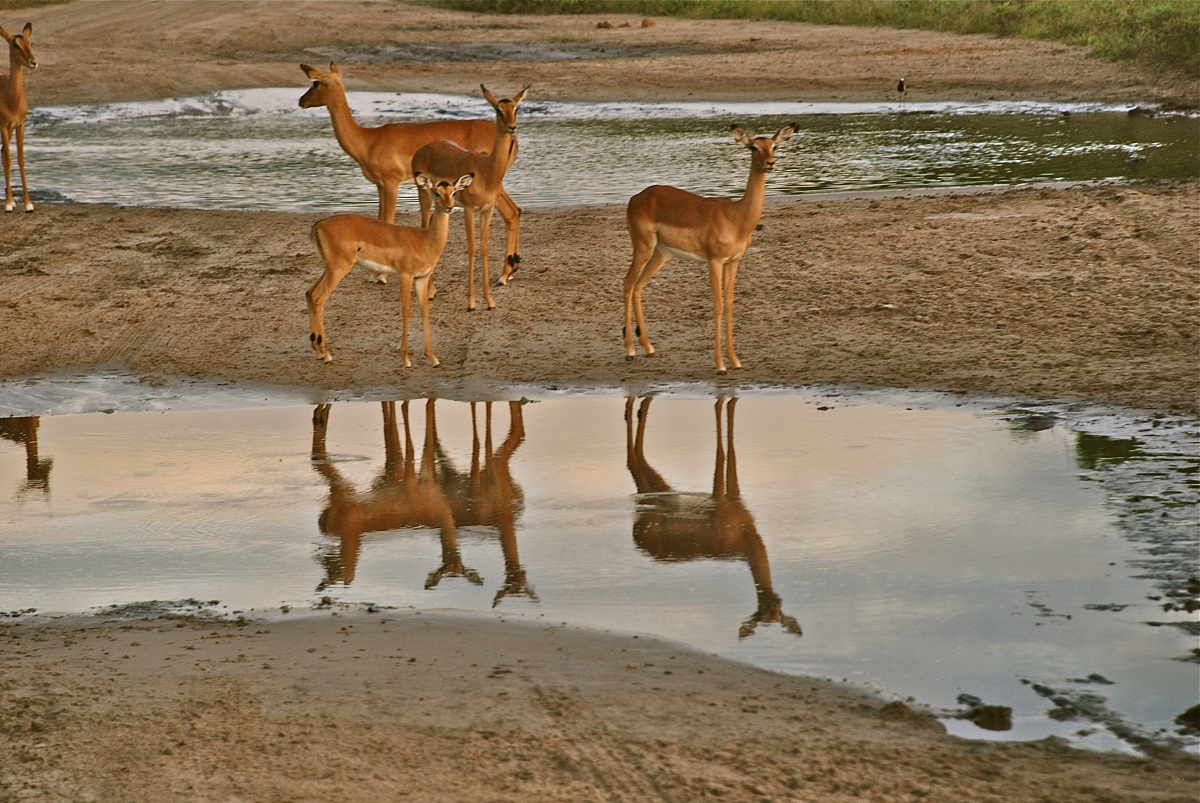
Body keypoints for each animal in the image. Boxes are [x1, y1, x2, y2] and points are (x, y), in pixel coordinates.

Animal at [306, 172, 473, 367]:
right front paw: (406, 358)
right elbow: (406, 309)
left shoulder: (422, 278)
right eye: (436, 192)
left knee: (309, 293)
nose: (449, 207)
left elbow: (425, 309)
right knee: (318, 297)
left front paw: (433, 358)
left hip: (329, 268)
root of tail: (318, 225)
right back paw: (326, 354)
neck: (425, 241)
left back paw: (319, 351)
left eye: (453, 192)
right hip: (338, 269)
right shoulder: (405, 275)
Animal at [412, 85, 528, 311]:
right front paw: (472, 302)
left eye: (516, 108)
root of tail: (421, 150)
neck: (487, 169)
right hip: (425, 197)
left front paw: (490, 301)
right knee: (423, 227)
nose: (512, 127)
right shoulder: (468, 209)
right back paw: (429, 292)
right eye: (498, 109)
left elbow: (484, 248)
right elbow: (472, 248)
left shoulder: (486, 210)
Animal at [623, 123, 797, 373]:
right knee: (628, 283)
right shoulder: (714, 262)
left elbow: (730, 304)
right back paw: (629, 350)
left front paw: (735, 360)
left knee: (638, 286)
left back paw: (648, 347)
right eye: (753, 147)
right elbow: (718, 305)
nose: (770, 163)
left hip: (661, 254)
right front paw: (720, 364)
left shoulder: (733, 261)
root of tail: (635, 198)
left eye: (774, 146)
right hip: (643, 248)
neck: (736, 218)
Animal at [625, 396, 801, 638]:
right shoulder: (720, 500)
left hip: (665, 493)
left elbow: (731, 436)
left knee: (639, 447)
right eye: (761, 611)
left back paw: (639, 409)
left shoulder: (734, 499)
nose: (774, 600)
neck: (743, 538)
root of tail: (637, 537)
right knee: (632, 458)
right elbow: (721, 450)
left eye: (777, 613)